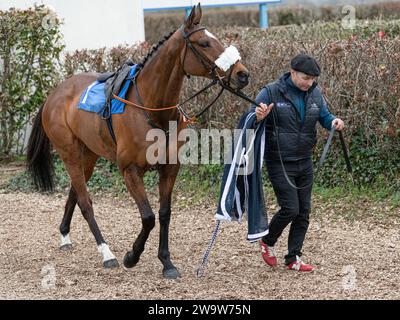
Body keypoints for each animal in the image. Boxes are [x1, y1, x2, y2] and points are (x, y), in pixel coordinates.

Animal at [26, 4, 248, 278]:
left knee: (74, 194)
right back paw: (106, 253)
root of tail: (53, 95)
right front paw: (132, 255)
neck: (152, 108)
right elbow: (148, 216)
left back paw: (65, 236)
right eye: (205, 42)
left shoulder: (169, 169)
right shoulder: (130, 170)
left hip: (88, 156)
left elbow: (164, 213)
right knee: (85, 202)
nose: (242, 74)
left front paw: (166, 262)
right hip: (69, 154)